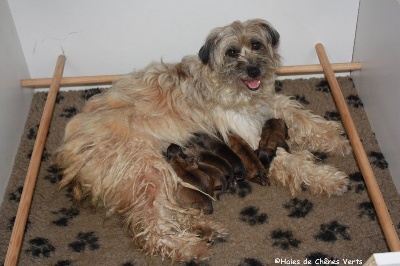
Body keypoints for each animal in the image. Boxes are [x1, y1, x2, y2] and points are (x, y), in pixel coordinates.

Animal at [55, 18, 350, 262]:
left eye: (256, 44)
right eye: (232, 52)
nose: (254, 71)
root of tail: (70, 156)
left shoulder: (266, 108)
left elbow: (297, 113)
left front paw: (333, 137)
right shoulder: (249, 136)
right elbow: (293, 161)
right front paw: (329, 179)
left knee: (168, 211)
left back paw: (205, 228)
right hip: (145, 167)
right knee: (151, 225)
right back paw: (189, 248)